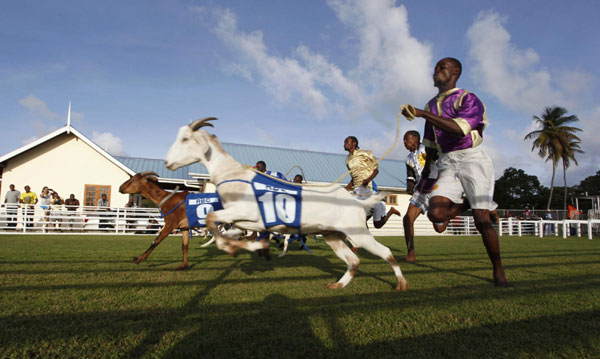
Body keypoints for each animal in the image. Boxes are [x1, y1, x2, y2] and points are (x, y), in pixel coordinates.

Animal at [165, 119, 408, 292]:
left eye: (185, 139)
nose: (168, 162)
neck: (234, 174)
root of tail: (355, 200)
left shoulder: (247, 213)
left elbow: (212, 219)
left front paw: (238, 247)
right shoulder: (243, 220)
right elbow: (226, 229)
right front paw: (246, 247)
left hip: (357, 233)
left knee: (385, 252)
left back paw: (401, 283)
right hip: (332, 236)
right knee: (354, 260)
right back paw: (338, 284)